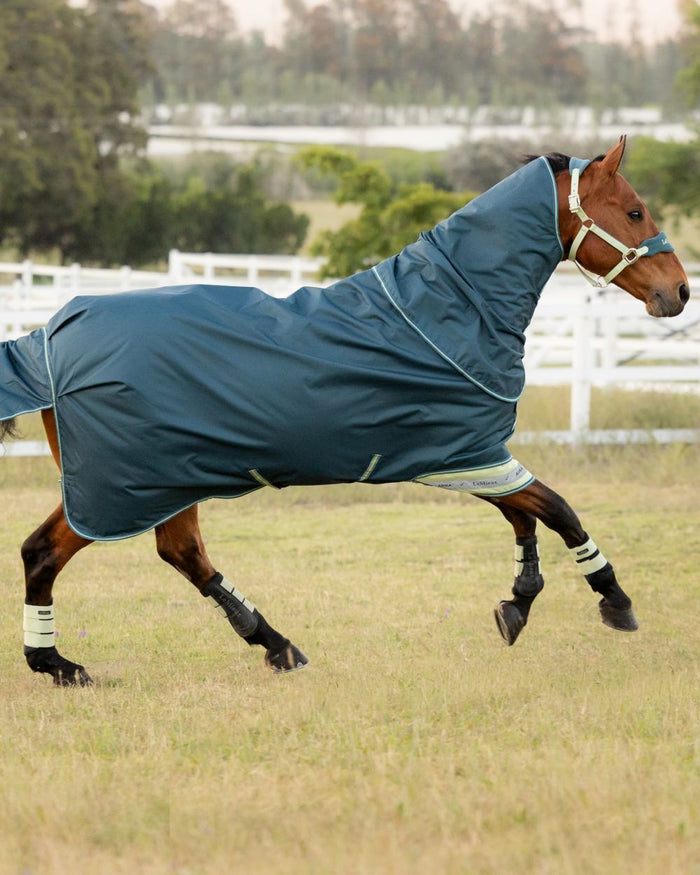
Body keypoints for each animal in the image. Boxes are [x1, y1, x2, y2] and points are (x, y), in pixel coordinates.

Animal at [0, 136, 690, 686]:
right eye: (634, 210)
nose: (679, 291)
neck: (448, 309)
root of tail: (50, 334)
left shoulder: (465, 456)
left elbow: (525, 518)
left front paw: (516, 605)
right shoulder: (466, 453)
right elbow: (557, 510)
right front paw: (614, 600)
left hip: (162, 482)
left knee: (173, 553)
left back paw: (271, 645)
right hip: (126, 486)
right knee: (52, 553)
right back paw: (58, 664)